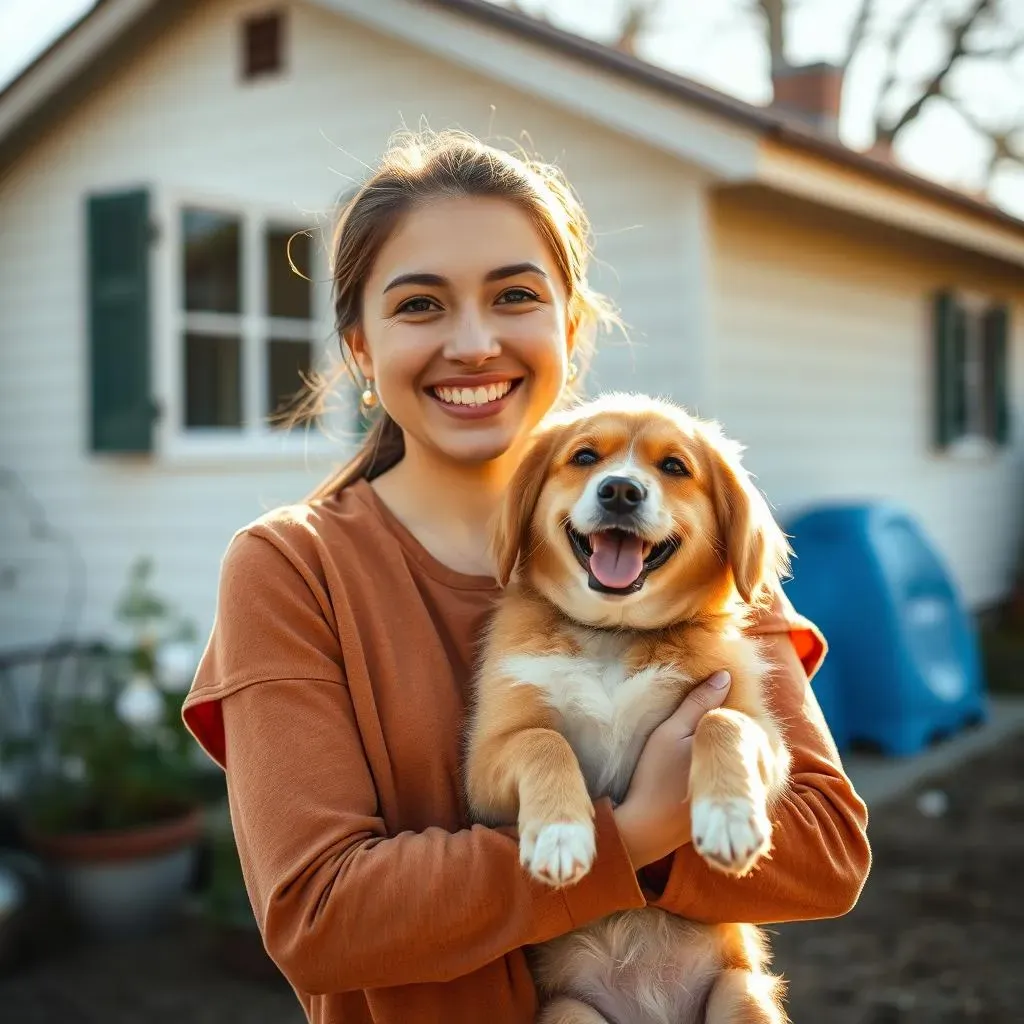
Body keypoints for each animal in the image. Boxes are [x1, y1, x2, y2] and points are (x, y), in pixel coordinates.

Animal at [464, 393, 790, 1024]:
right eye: (585, 457)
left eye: (675, 467)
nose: (620, 490)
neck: (614, 635)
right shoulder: (486, 767)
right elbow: (543, 739)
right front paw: (561, 833)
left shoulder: (765, 736)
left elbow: (722, 720)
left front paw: (730, 817)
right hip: (570, 1013)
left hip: (741, 992)